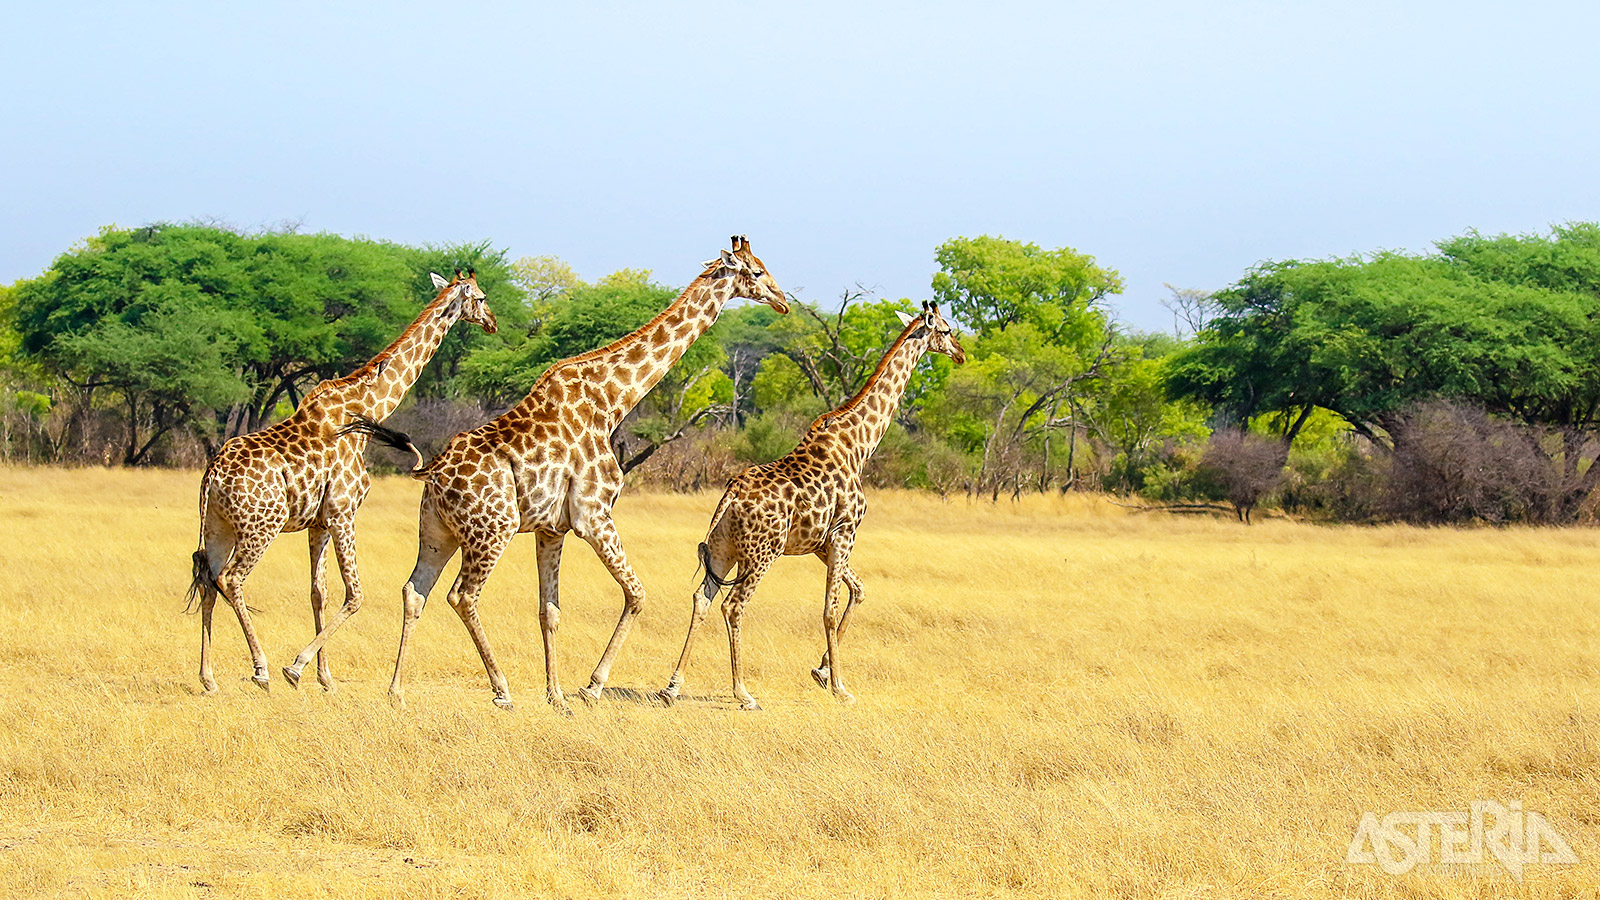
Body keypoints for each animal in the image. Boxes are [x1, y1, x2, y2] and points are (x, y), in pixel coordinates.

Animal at [184, 269, 492, 688]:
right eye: (481, 296)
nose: (493, 323)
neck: (367, 408)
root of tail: (212, 473)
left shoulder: (319, 521)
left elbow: (319, 592)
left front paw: (325, 677)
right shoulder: (343, 512)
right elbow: (355, 594)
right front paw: (296, 667)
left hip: (219, 526)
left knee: (208, 579)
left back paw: (208, 678)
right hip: (260, 527)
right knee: (231, 579)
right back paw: (261, 668)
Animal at [384, 237, 790, 707]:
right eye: (756, 272)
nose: (783, 301)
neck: (612, 400)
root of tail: (432, 473)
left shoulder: (551, 528)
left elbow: (550, 610)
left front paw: (556, 694)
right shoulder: (594, 514)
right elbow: (636, 593)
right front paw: (592, 685)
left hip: (437, 532)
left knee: (415, 590)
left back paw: (396, 690)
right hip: (493, 530)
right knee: (462, 595)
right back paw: (501, 689)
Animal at [659, 301, 966, 707]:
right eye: (946, 330)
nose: (961, 353)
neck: (859, 444)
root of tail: (731, 495)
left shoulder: (820, 542)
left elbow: (859, 591)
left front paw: (821, 672)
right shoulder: (844, 533)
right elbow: (829, 610)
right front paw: (840, 687)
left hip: (724, 552)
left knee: (702, 599)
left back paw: (673, 685)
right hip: (762, 554)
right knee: (733, 605)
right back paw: (744, 692)